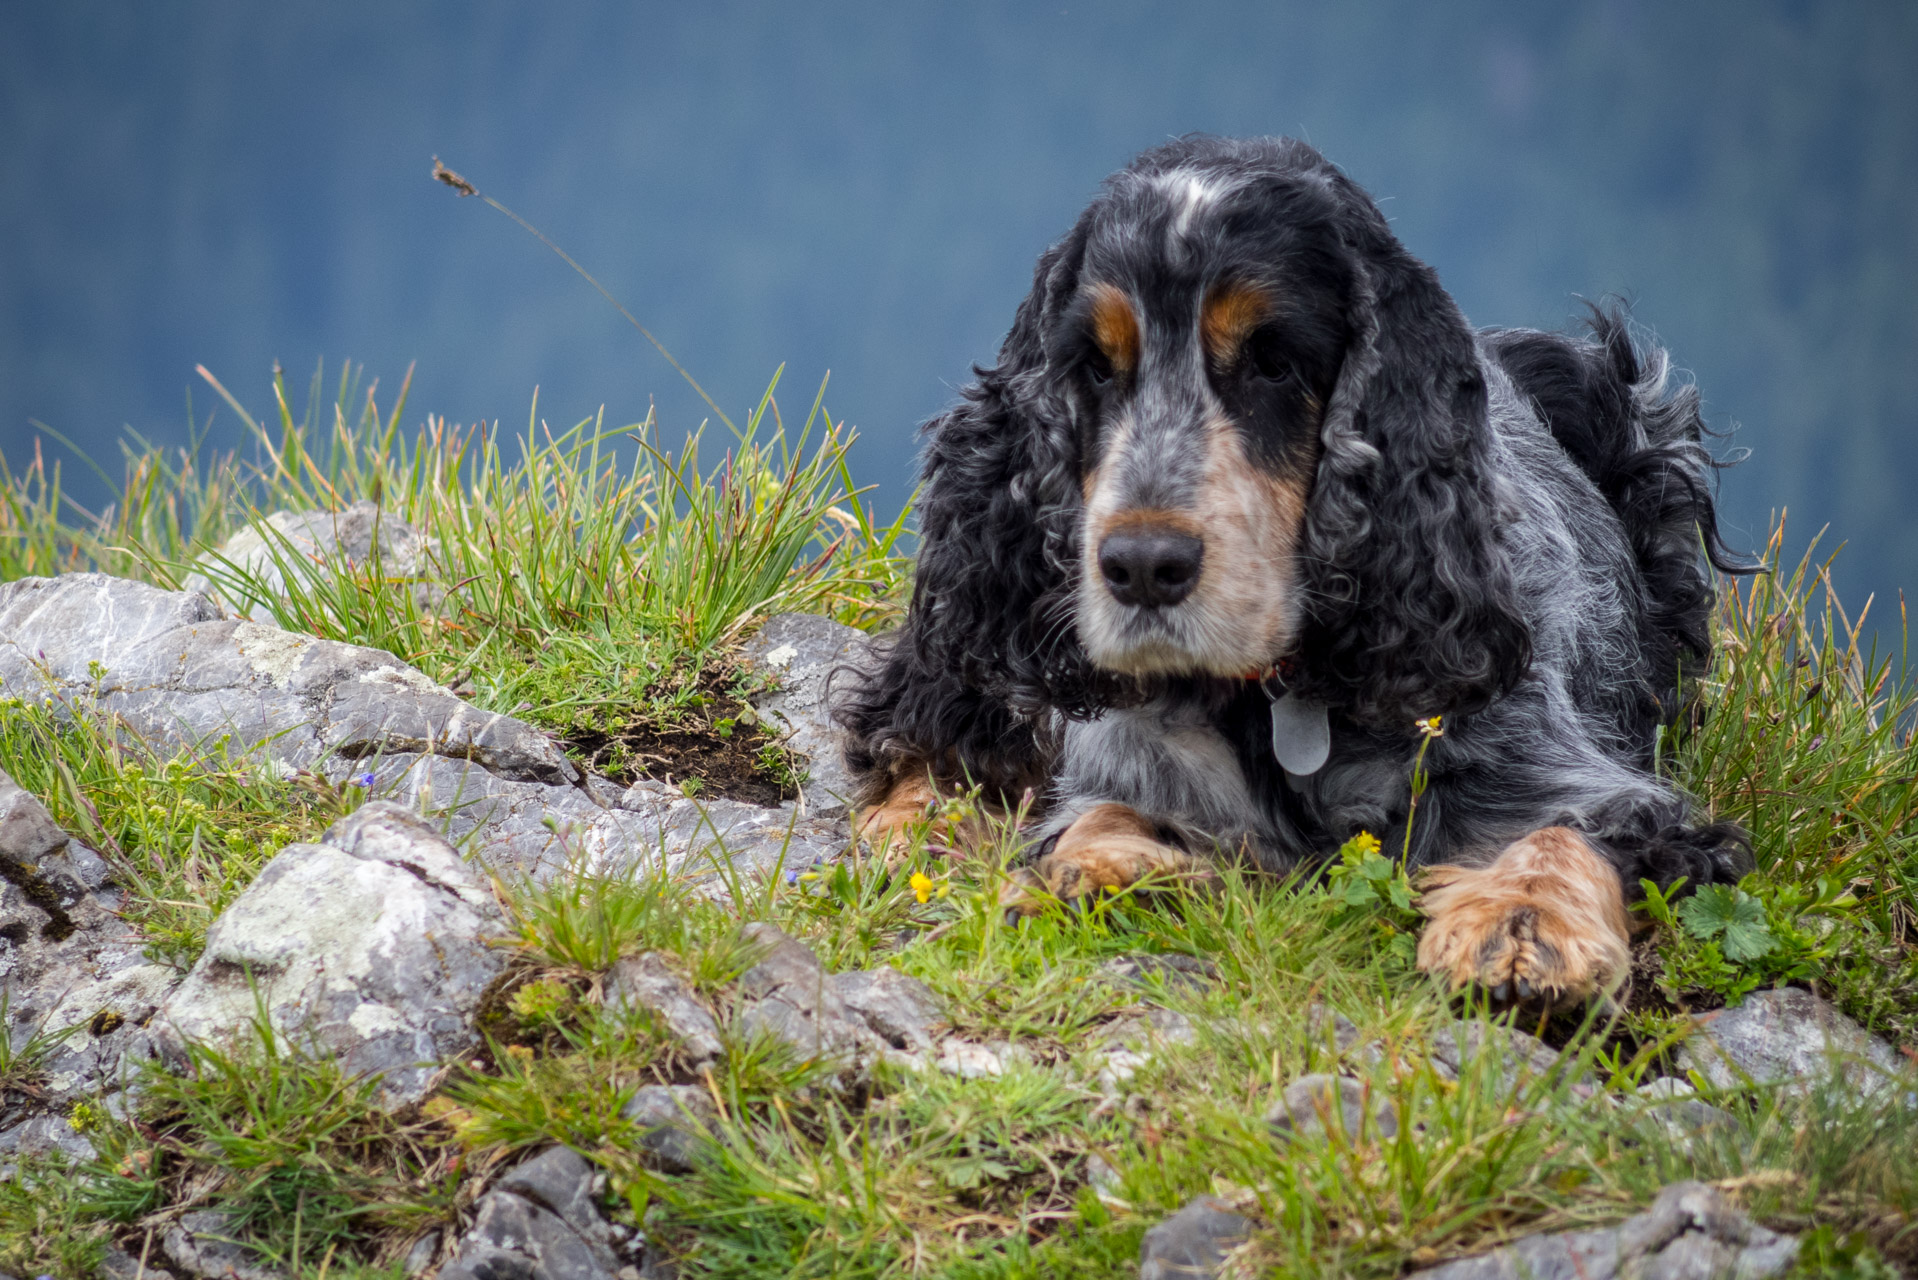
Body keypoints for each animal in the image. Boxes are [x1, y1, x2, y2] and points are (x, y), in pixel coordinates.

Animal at [832, 135, 1749, 1005]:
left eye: (1274, 362)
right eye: (1094, 366)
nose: (1142, 567)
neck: (1279, 692)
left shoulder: (1562, 769)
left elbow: (1574, 829)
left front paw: (1524, 927)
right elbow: (1106, 812)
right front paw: (1098, 867)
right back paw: (918, 829)